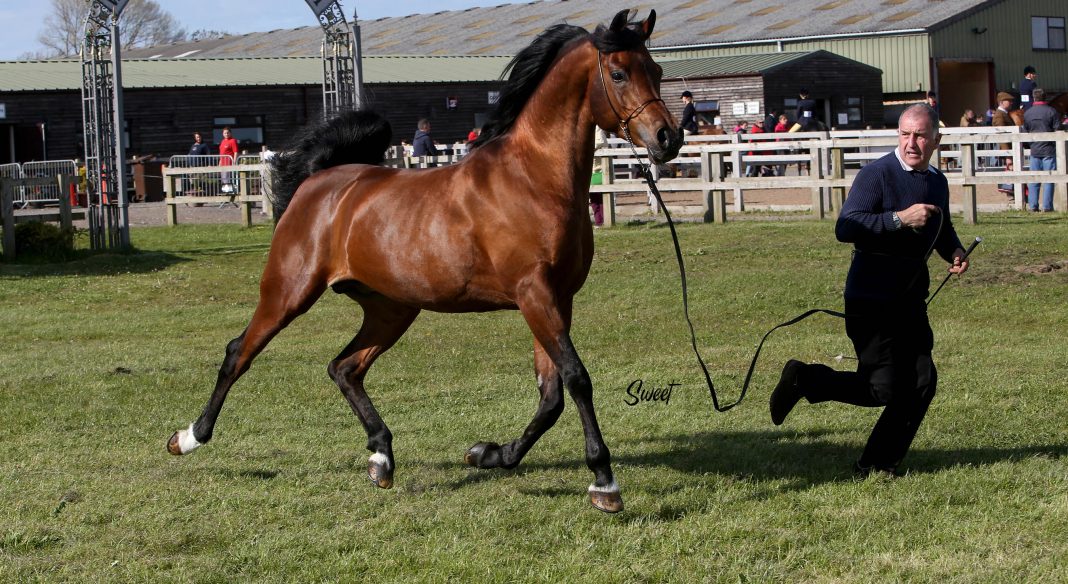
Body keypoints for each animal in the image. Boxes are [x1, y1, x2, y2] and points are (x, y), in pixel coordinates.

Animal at [166, 8, 683, 512]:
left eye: (656, 71)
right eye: (618, 73)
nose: (668, 138)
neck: (532, 179)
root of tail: (318, 182)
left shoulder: (557, 299)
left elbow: (550, 394)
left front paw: (490, 454)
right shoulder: (535, 295)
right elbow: (576, 380)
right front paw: (604, 481)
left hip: (392, 309)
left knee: (345, 367)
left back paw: (381, 457)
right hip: (288, 292)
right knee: (239, 353)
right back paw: (189, 437)